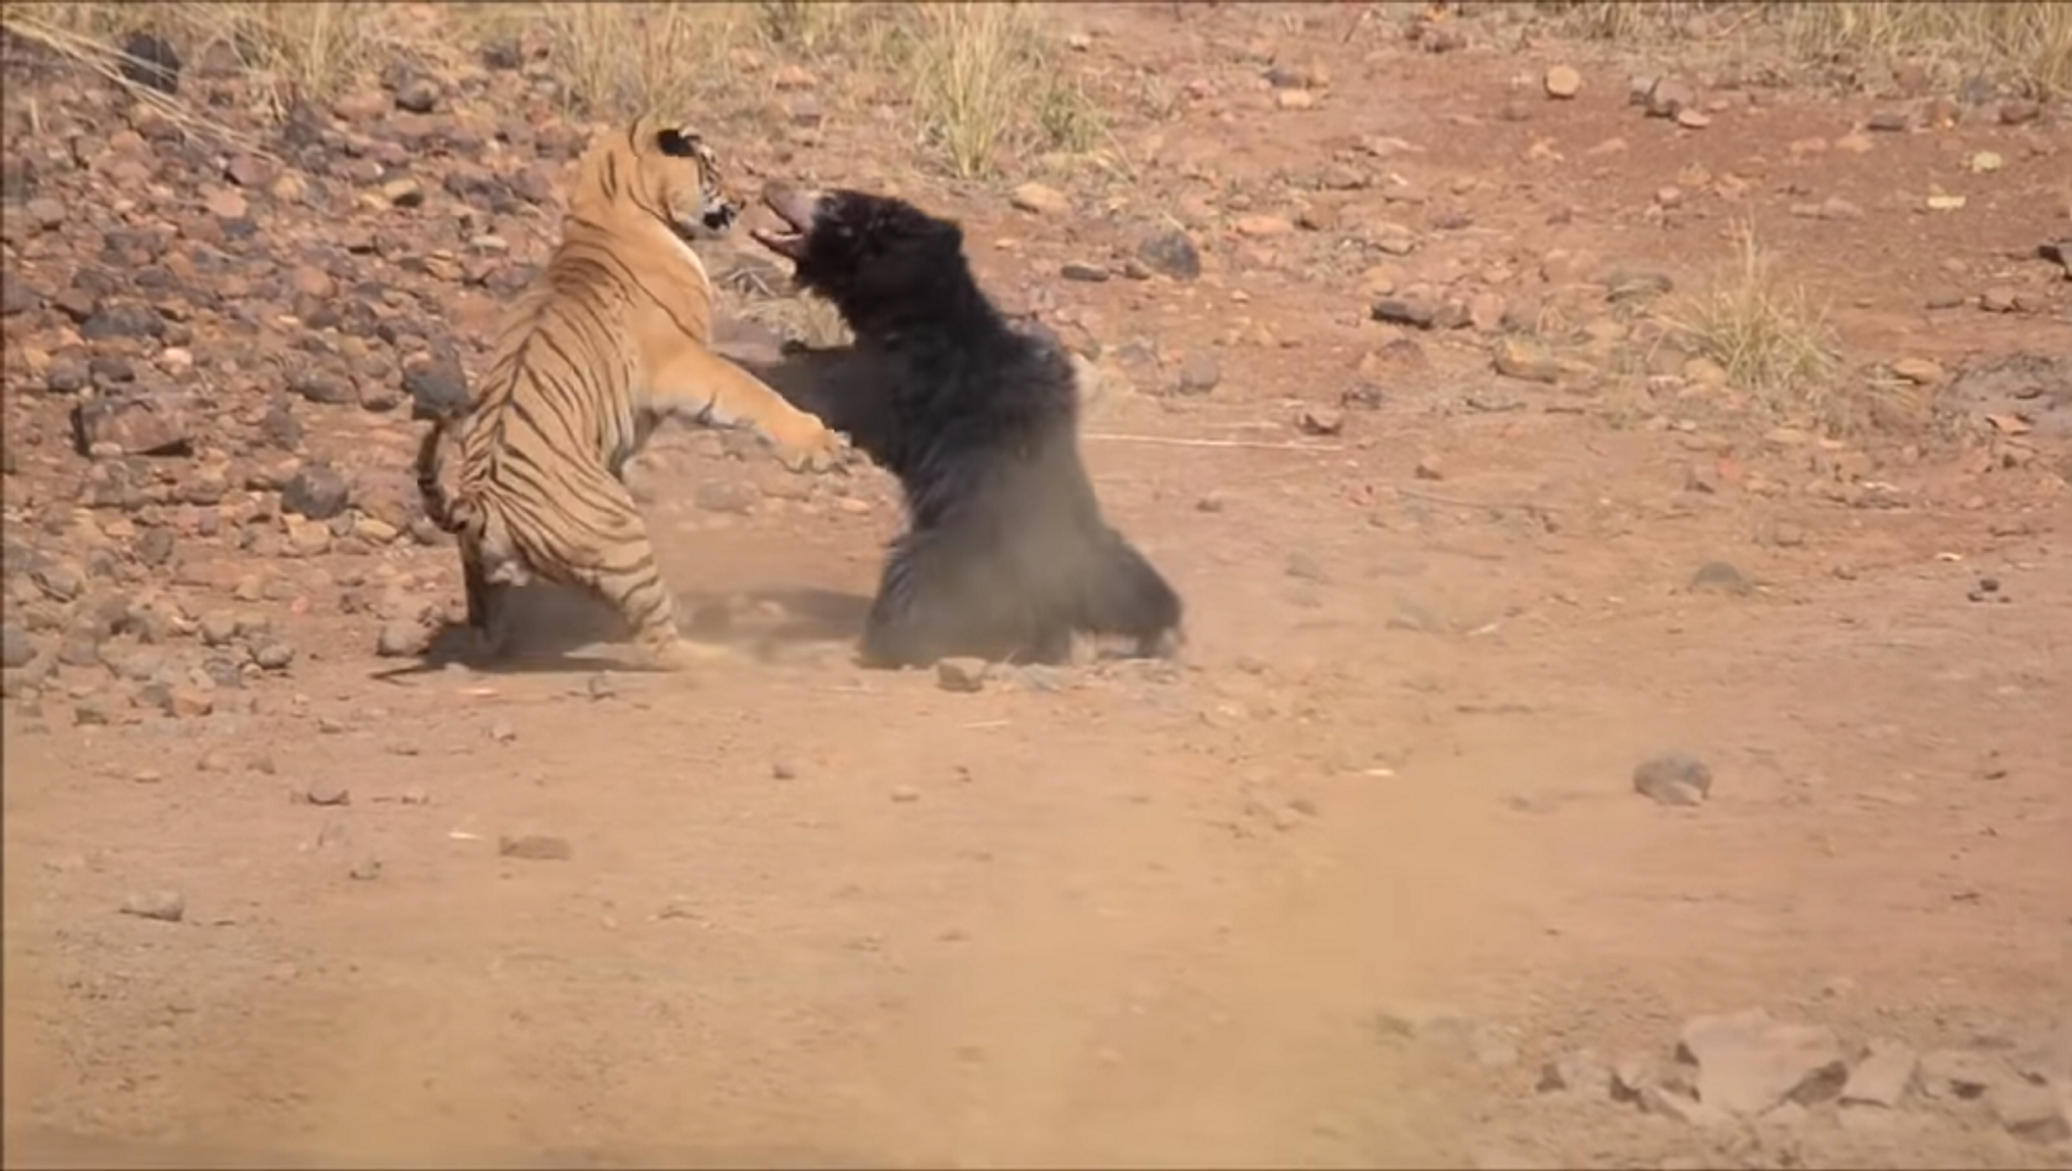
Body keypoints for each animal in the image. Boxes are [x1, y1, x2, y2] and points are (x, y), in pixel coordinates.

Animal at [414, 113, 849, 671]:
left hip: (483, 577)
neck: (605, 207)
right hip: (621, 535)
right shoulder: (686, 362)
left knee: (488, 631)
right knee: (661, 641)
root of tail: (479, 504)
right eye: (713, 167)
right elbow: (751, 392)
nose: (741, 200)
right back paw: (716, 654)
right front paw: (816, 442)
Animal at [758, 182, 1193, 667]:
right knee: (1135, 586)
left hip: (953, 556)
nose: (772, 187)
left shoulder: (896, 378)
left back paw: (885, 643)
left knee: (908, 587)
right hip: (1098, 557)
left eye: (830, 203)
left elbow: (824, 389)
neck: (915, 312)